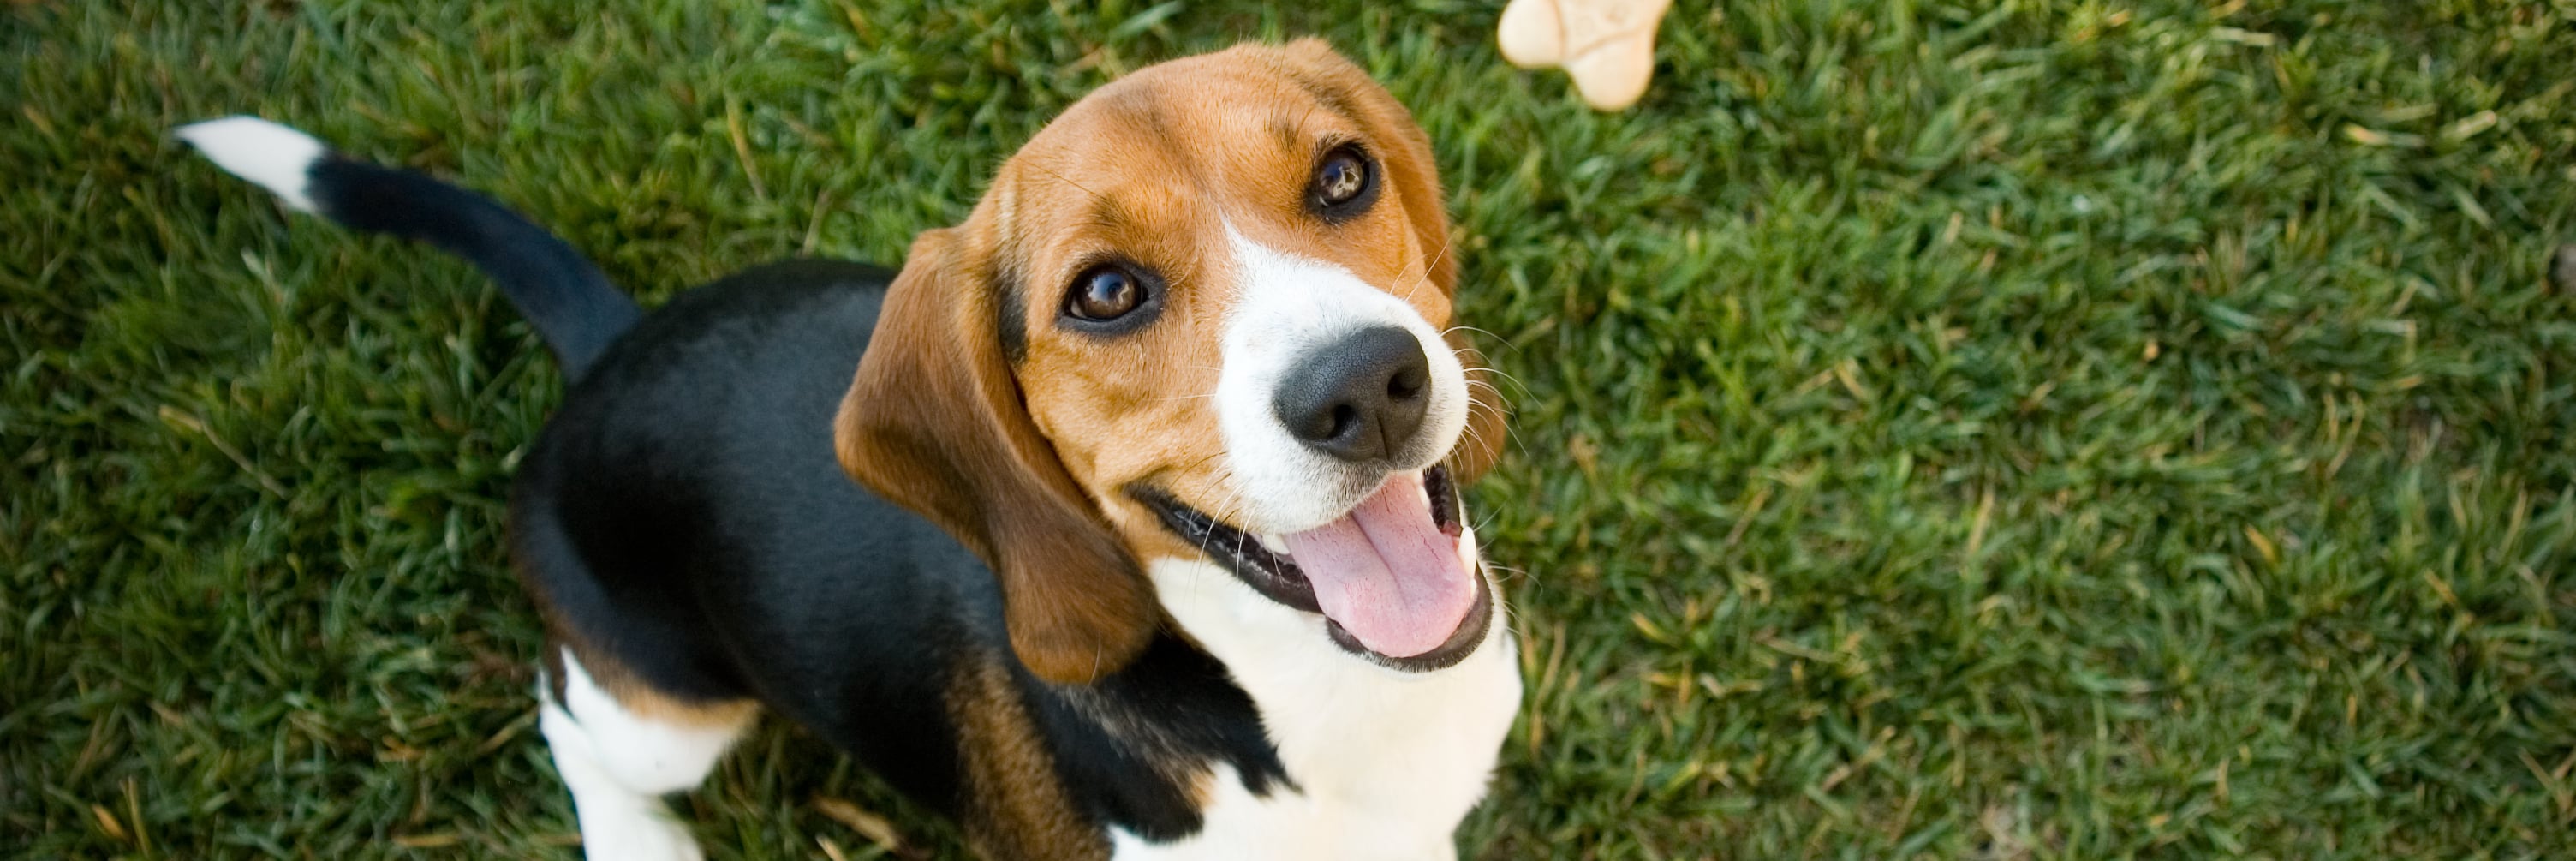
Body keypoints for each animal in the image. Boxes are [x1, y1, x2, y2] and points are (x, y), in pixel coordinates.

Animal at [182, 39, 1514, 860]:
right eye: (1106, 294)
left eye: (1341, 175)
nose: (1364, 387)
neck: (1309, 692)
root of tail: (615, 347)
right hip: (666, 714)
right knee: (568, 718)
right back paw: (639, 838)